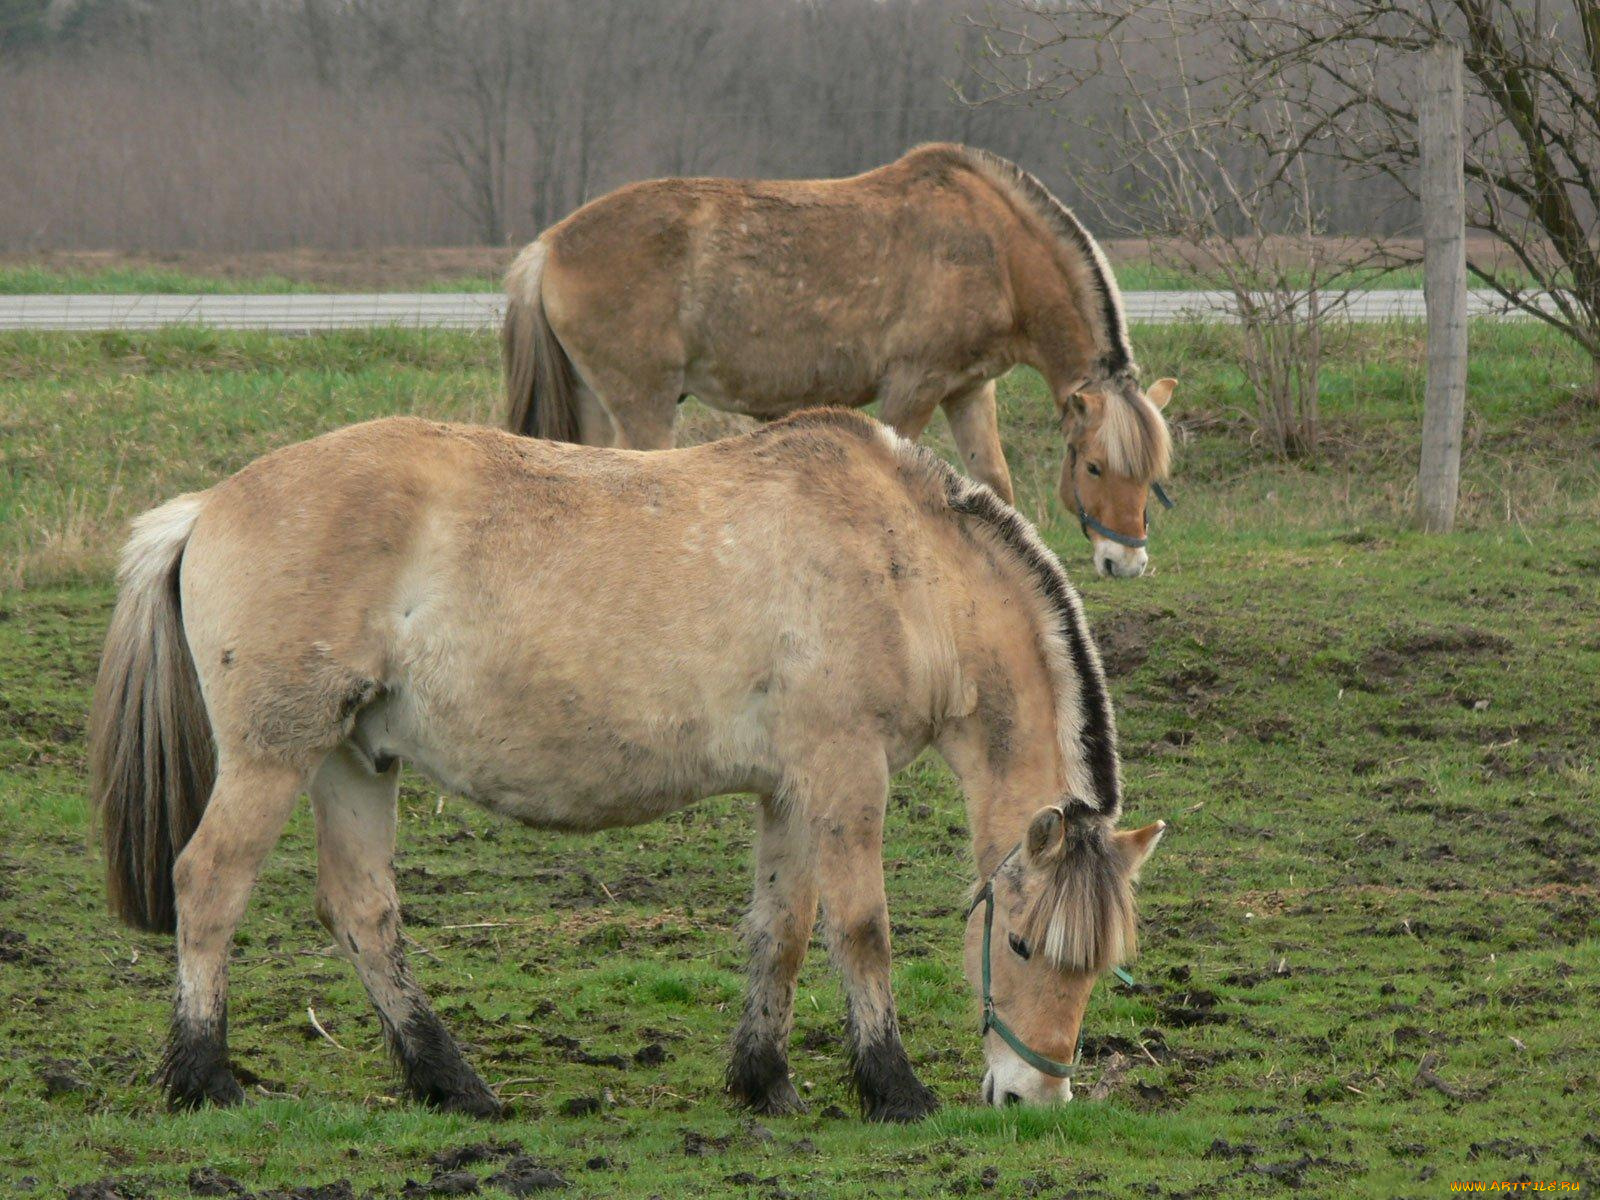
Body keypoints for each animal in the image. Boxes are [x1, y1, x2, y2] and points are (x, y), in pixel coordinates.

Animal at [90, 412, 1164, 1120]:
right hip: (274, 756)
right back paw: (206, 1080)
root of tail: (207, 508)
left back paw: (454, 1085)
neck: (905, 568)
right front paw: (894, 1091)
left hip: (355, 758)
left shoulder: (789, 792)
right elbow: (861, 931)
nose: (1032, 1097)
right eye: (1020, 944)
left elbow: (782, 932)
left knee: (361, 911)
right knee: (209, 884)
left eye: (1101, 963)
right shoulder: (846, 776)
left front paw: (764, 1083)